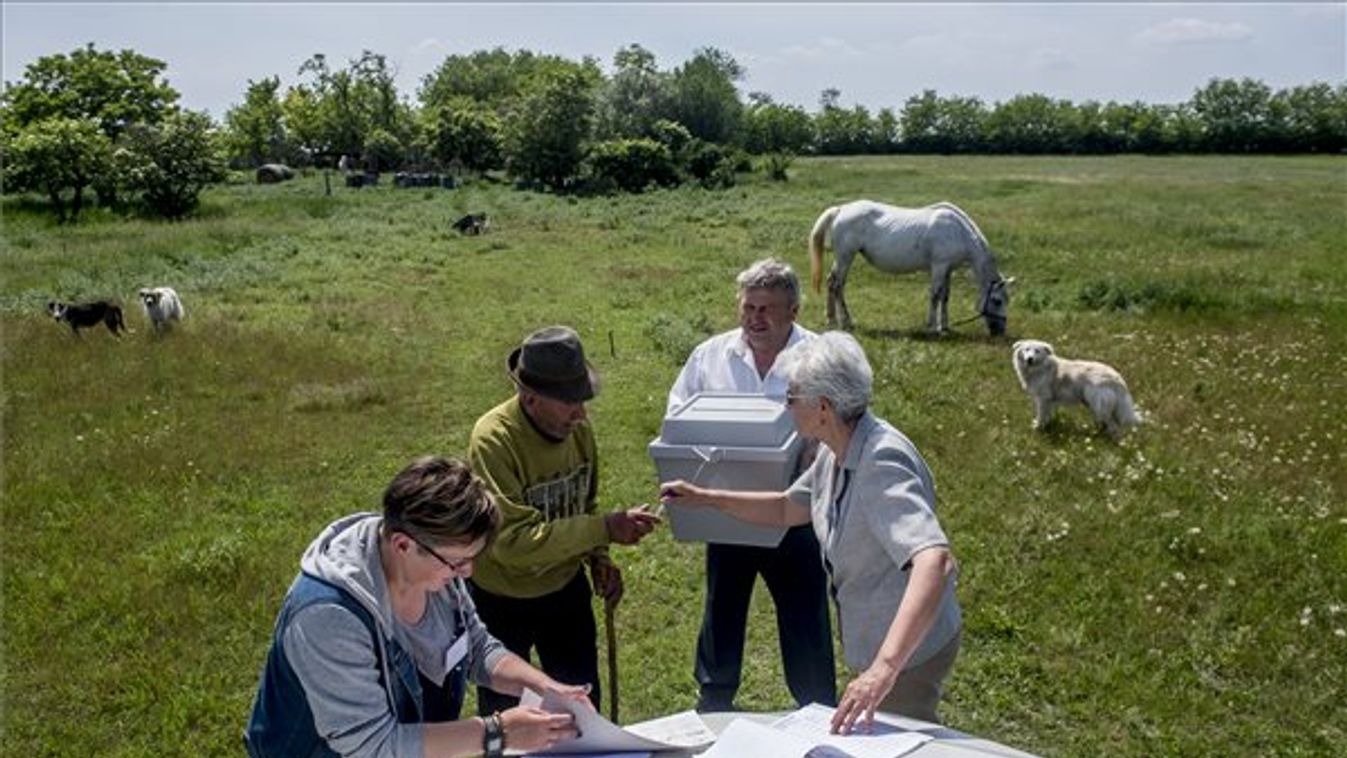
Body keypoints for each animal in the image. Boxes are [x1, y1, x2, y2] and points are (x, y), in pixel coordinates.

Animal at [802, 200, 1012, 333]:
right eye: (997, 301)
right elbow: (935, 295)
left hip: (842, 258)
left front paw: (944, 326)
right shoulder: (939, 266)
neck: (958, 232)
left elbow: (945, 297)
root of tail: (840, 209)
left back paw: (831, 319)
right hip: (846, 257)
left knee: (831, 282)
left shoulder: (948, 270)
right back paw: (846, 323)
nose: (999, 331)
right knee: (838, 286)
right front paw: (932, 327)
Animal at [1012, 340, 1142, 441]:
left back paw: (1113, 439)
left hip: (1098, 404)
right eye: (1026, 349)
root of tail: (1117, 377)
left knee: (1113, 425)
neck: (1040, 368)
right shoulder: (1049, 401)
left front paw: (1038, 428)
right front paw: (1045, 425)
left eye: (1037, 351)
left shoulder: (1043, 399)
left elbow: (1041, 415)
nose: (1029, 359)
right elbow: (1047, 415)